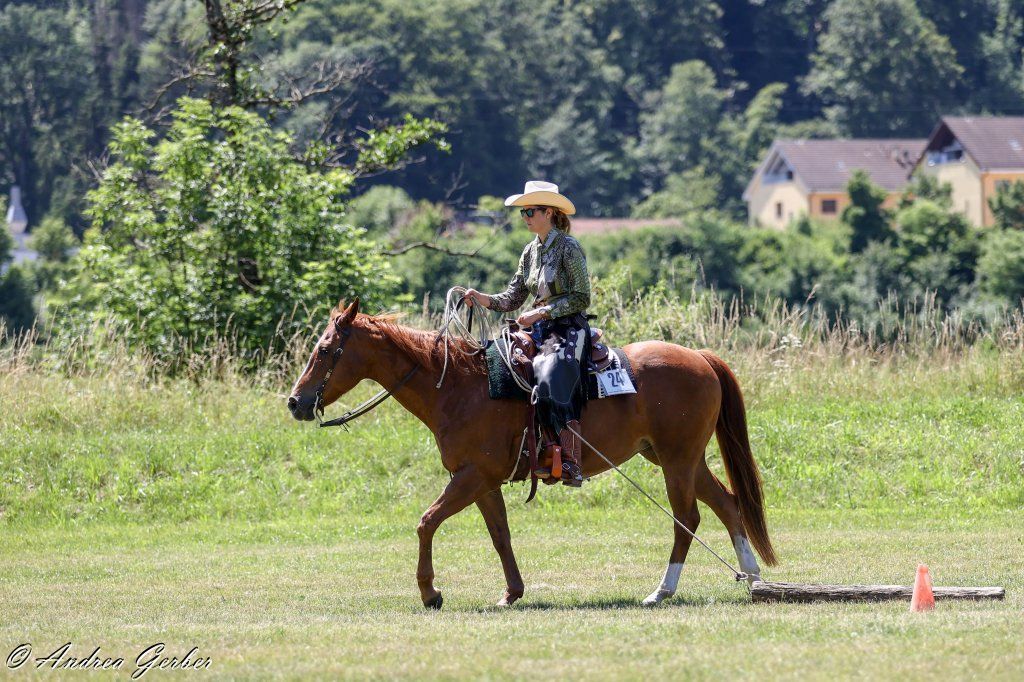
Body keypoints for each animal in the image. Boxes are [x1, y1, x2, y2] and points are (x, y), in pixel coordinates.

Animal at [287, 298, 777, 609]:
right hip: (678, 458)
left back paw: (662, 591)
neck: (458, 385)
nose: (295, 402)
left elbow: (426, 522)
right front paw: (512, 593)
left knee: (687, 519)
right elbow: (500, 536)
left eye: (326, 349)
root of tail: (699, 357)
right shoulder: (482, 481)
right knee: (728, 504)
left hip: (677, 461)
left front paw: (430, 593)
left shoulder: (470, 476)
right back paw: (754, 578)